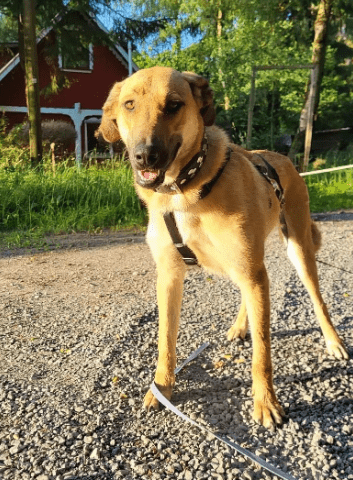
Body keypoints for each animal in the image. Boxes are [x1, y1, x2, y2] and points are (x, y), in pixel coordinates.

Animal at [97, 65, 348, 430]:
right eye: (129, 104)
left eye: (174, 105)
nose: (145, 155)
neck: (185, 189)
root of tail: (283, 158)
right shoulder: (170, 276)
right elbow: (166, 341)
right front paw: (162, 387)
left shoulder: (252, 270)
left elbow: (263, 351)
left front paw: (266, 402)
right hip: (244, 265)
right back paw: (242, 325)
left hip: (297, 251)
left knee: (317, 301)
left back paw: (333, 341)